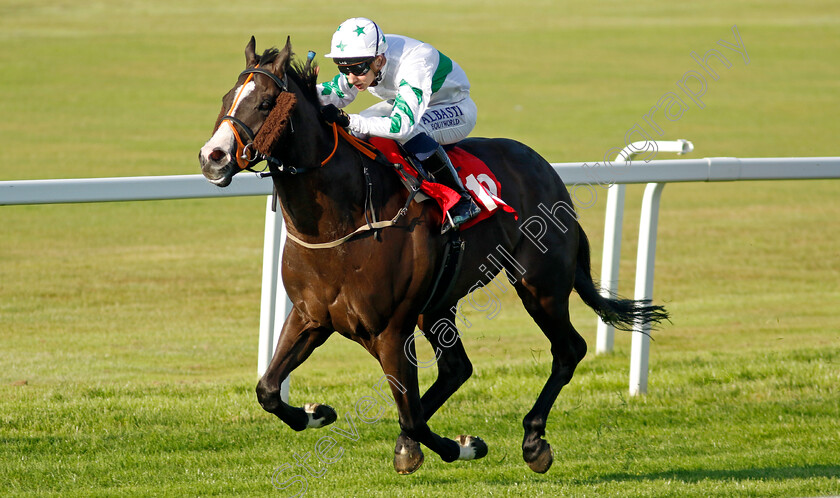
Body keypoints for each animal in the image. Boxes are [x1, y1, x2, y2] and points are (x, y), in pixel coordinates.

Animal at [200, 38, 668, 474]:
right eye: (226, 98)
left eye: (264, 103)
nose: (212, 158)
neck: (341, 224)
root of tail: (548, 170)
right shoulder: (310, 316)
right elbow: (268, 389)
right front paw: (317, 413)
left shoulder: (391, 330)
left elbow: (410, 416)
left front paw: (461, 446)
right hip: (439, 304)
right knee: (458, 368)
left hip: (541, 285)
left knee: (568, 349)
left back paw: (534, 441)